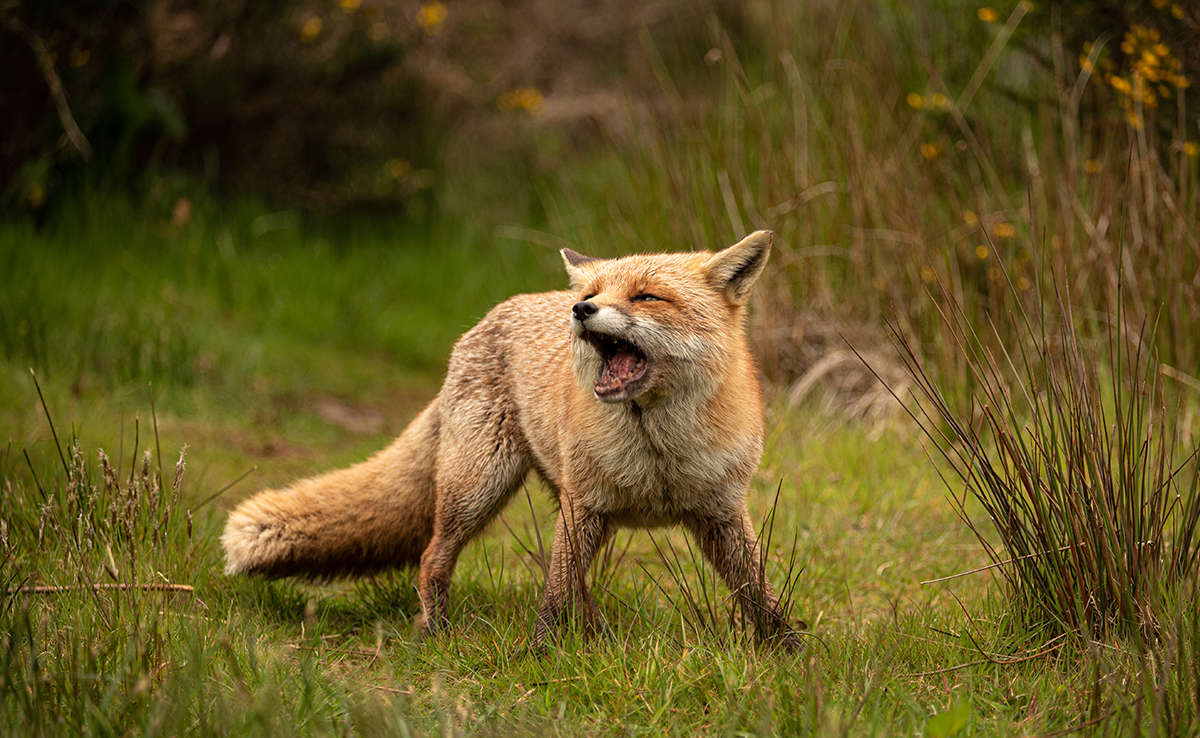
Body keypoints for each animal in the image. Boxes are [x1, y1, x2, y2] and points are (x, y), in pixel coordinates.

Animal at [222, 230, 800, 648]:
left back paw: (596, 636)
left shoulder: (720, 512)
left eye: (648, 296)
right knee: (432, 558)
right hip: (481, 488)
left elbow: (759, 591)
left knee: (574, 584)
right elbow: (553, 595)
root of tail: (487, 319)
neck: (658, 452)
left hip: (561, 505)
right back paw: (439, 634)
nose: (580, 311)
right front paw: (542, 653)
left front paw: (786, 654)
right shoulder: (585, 504)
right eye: (593, 295)